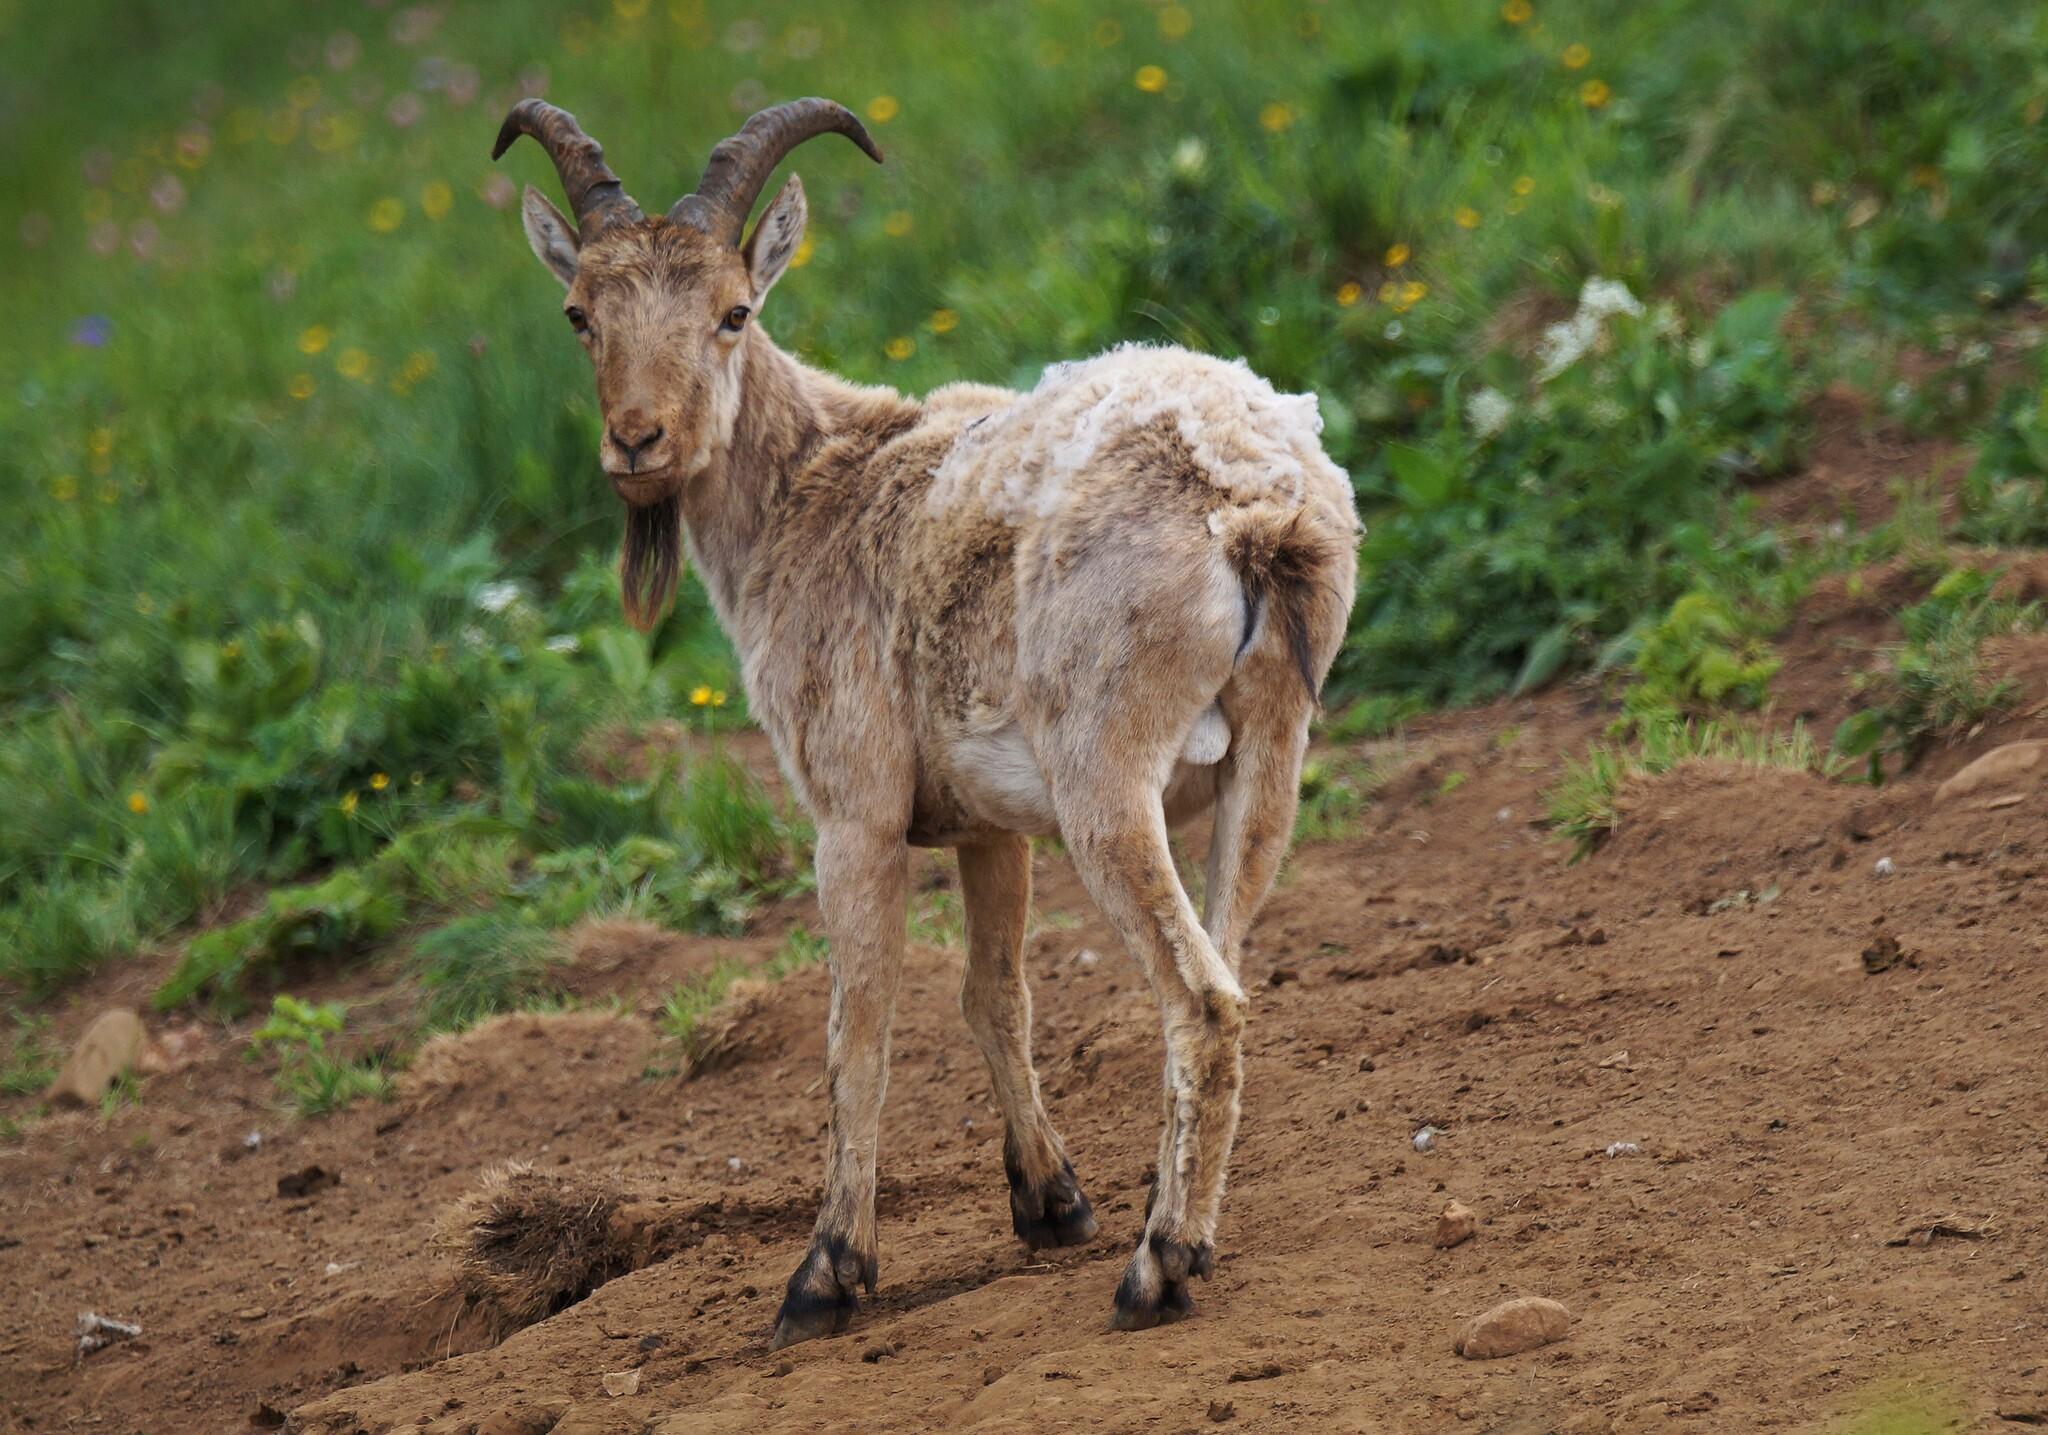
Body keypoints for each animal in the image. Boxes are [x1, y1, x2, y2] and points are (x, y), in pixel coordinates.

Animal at [493, 97, 1359, 1347]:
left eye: (732, 311)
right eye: (578, 315)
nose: (638, 443)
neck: (810, 490)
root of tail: (1255, 505)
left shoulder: (851, 814)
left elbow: (857, 1028)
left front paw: (824, 1276)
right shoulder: (989, 827)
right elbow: (992, 994)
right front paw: (1050, 1203)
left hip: (1105, 777)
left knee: (1198, 999)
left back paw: (1153, 1273)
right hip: (1269, 755)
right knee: (1229, 972)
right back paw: (1180, 1230)